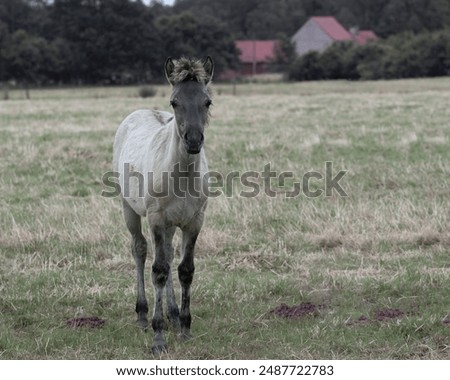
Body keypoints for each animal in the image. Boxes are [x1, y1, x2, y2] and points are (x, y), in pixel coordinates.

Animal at [112, 56, 214, 354]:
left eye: (207, 102)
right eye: (174, 102)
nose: (193, 140)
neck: (181, 175)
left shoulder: (194, 222)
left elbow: (185, 270)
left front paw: (186, 327)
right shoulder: (157, 219)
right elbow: (158, 271)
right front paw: (158, 337)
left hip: (171, 224)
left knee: (168, 255)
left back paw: (173, 315)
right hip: (130, 210)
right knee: (140, 250)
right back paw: (143, 315)